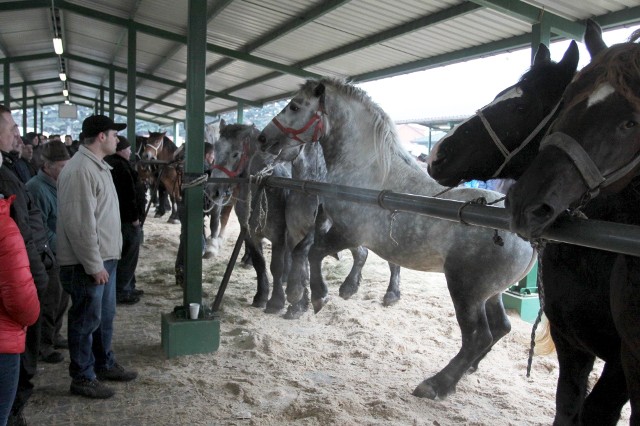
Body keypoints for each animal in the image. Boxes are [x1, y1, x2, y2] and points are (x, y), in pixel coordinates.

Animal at [258, 77, 536, 400]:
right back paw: (468, 371)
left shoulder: (348, 232)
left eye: (294, 106)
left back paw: (437, 384)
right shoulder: (336, 227)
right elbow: (312, 250)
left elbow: (315, 253)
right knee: (501, 327)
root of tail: (525, 237)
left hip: (465, 289)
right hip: (490, 293)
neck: (369, 173)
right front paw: (325, 293)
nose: (263, 138)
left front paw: (320, 296)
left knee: (478, 336)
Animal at [508, 29, 640, 422]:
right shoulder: (575, 345)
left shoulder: (620, 365)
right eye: (568, 99)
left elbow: (596, 411)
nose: (525, 204)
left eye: (631, 122)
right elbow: (568, 405)